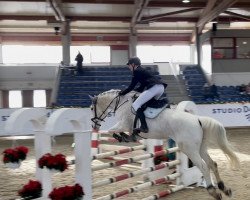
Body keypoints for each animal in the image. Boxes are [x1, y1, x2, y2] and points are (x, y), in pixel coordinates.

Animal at [90, 89, 240, 200]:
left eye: (91, 108)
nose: (94, 125)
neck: (122, 103)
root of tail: (197, 119)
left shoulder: (123, 124)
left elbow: (112, 131)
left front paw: (123, 137)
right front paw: (125, 136)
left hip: (189, 149)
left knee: (203, 166)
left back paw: (213, 191)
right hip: (200, 148)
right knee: (212, 163)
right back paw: (224, 188)